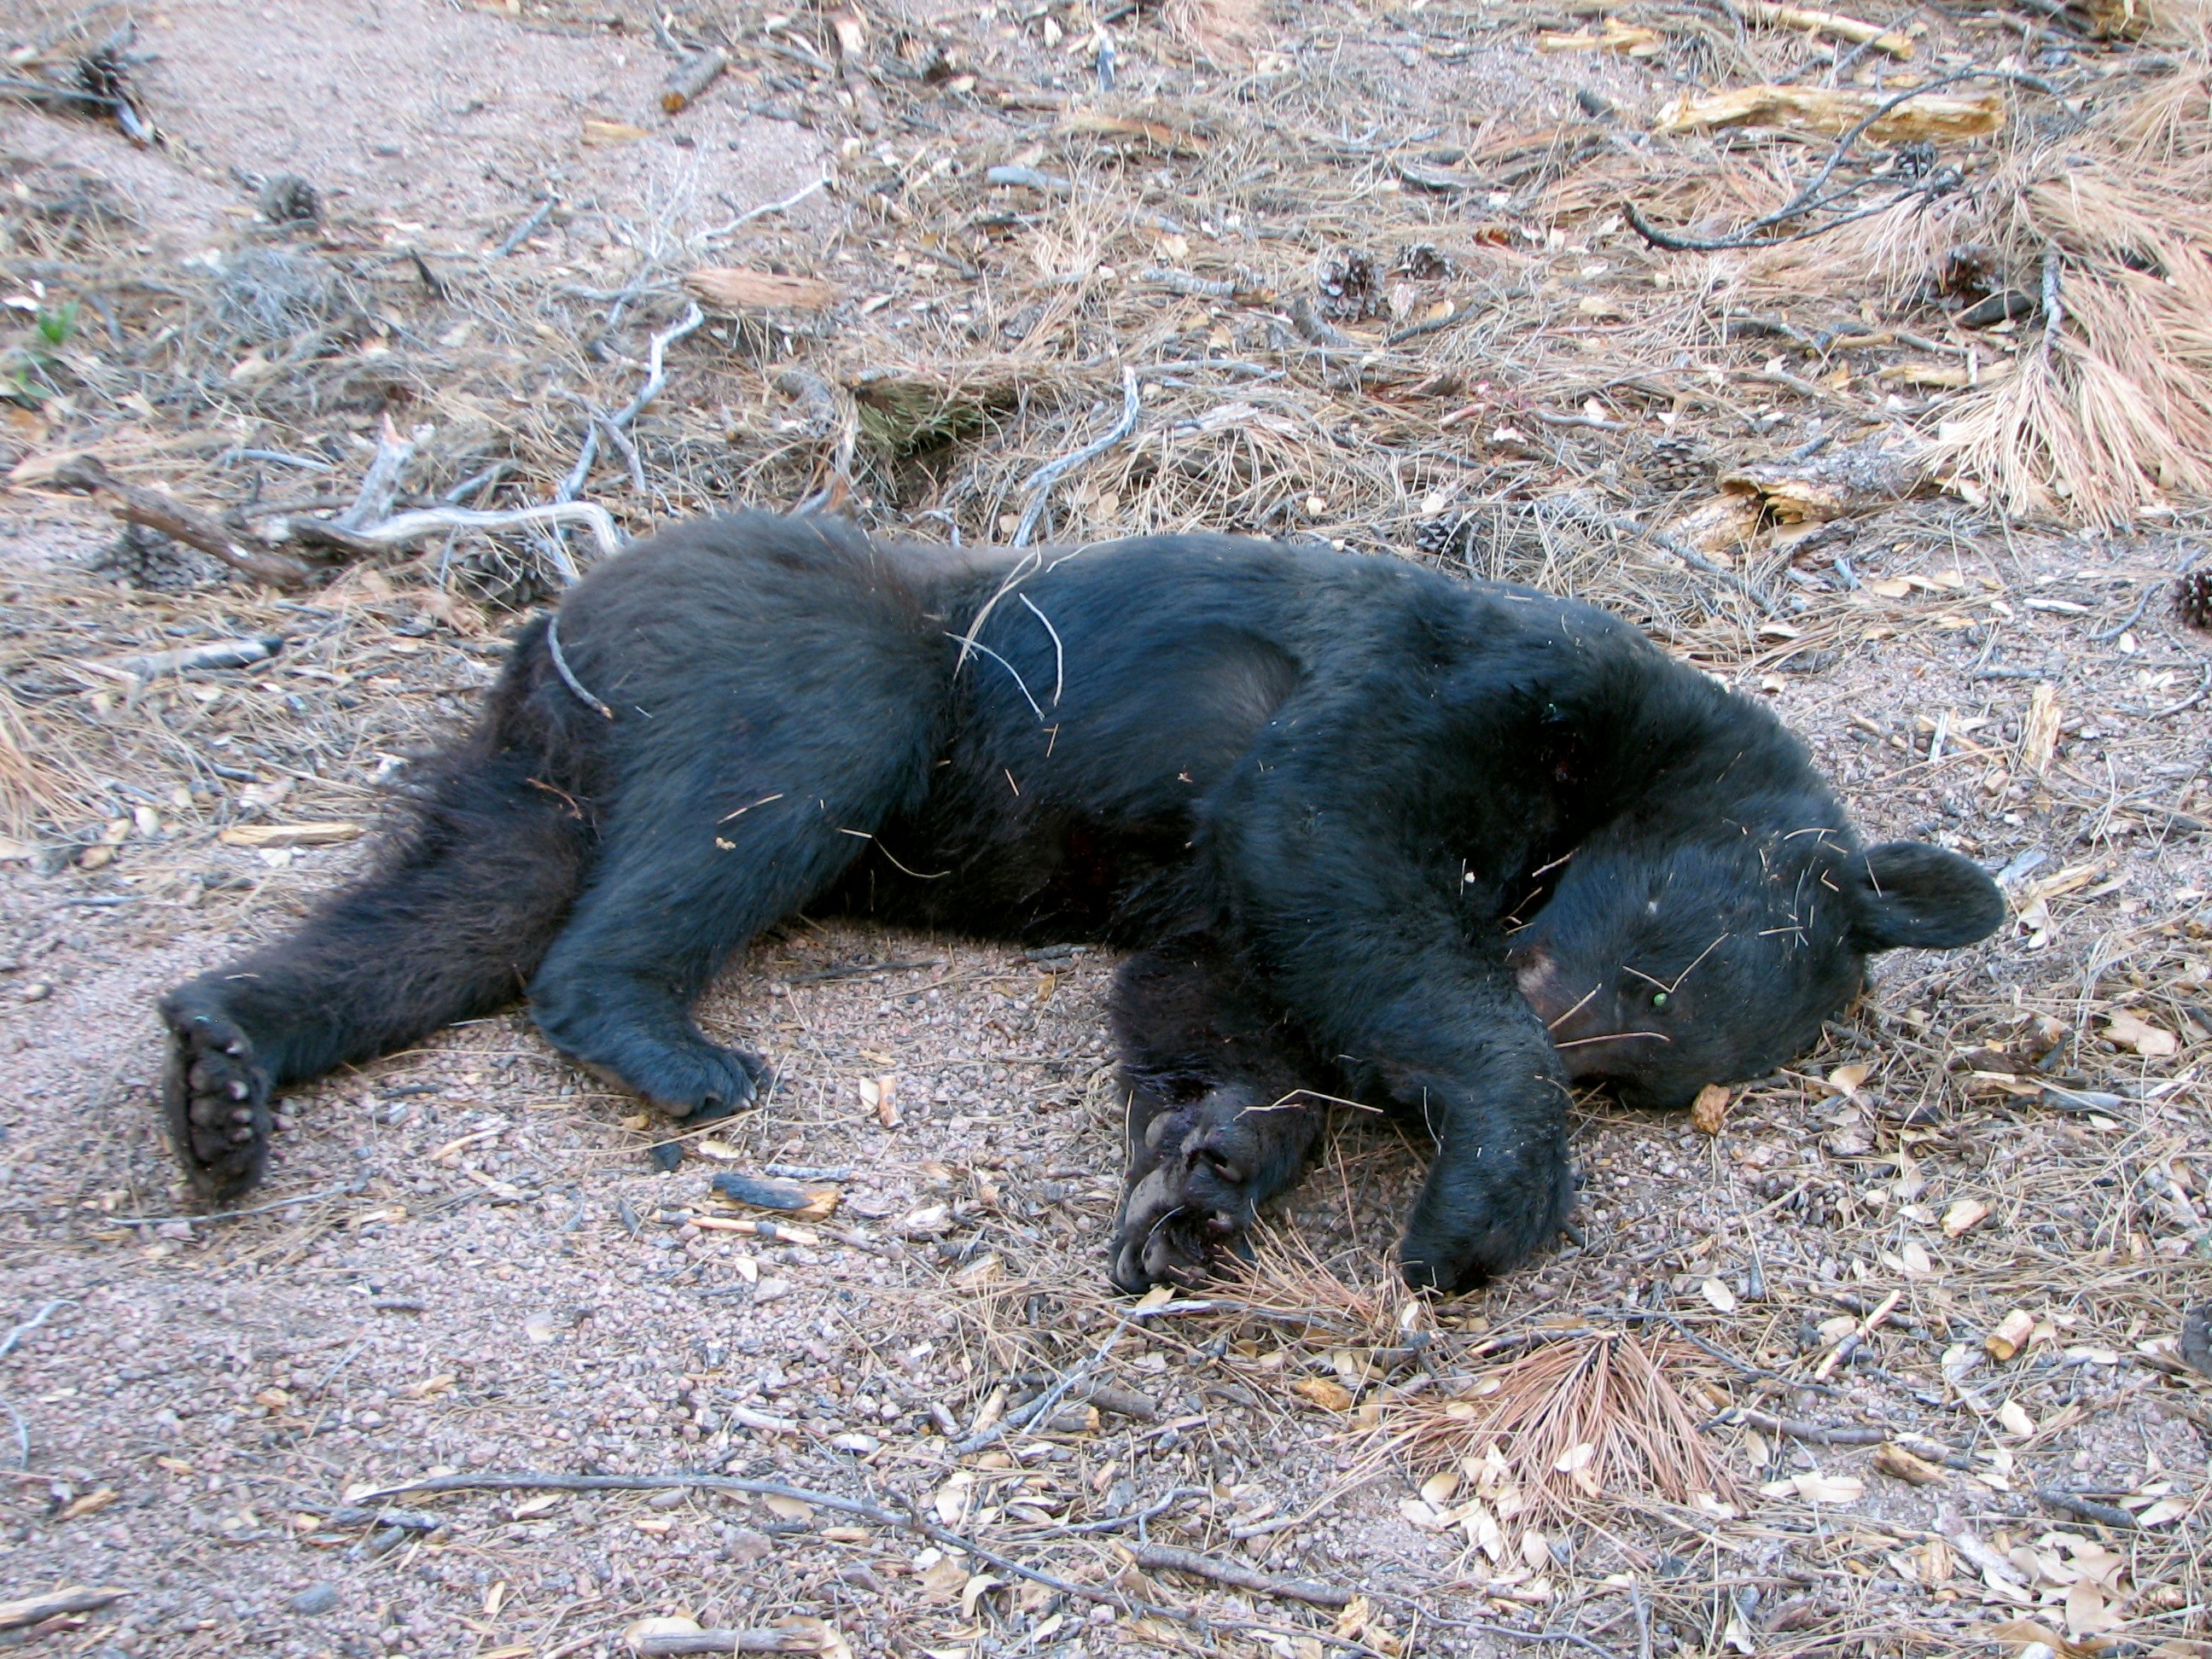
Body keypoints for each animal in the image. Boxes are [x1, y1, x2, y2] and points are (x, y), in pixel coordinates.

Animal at [163, 513, 2008, 1291]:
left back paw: (224, 1066)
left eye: (1649, 1052)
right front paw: (1484, 1192)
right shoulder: (1454, 695)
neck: (1600, 775)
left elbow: (1218, 997)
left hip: (549, 763)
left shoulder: (1213, 904)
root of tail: (566, 612)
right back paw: (669, 1043)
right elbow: (1330, 841)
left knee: (450, 906)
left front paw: (1197, 1182)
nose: (1562, 1017)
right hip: (812, 654)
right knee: (752, 795)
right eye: (1649, 960)